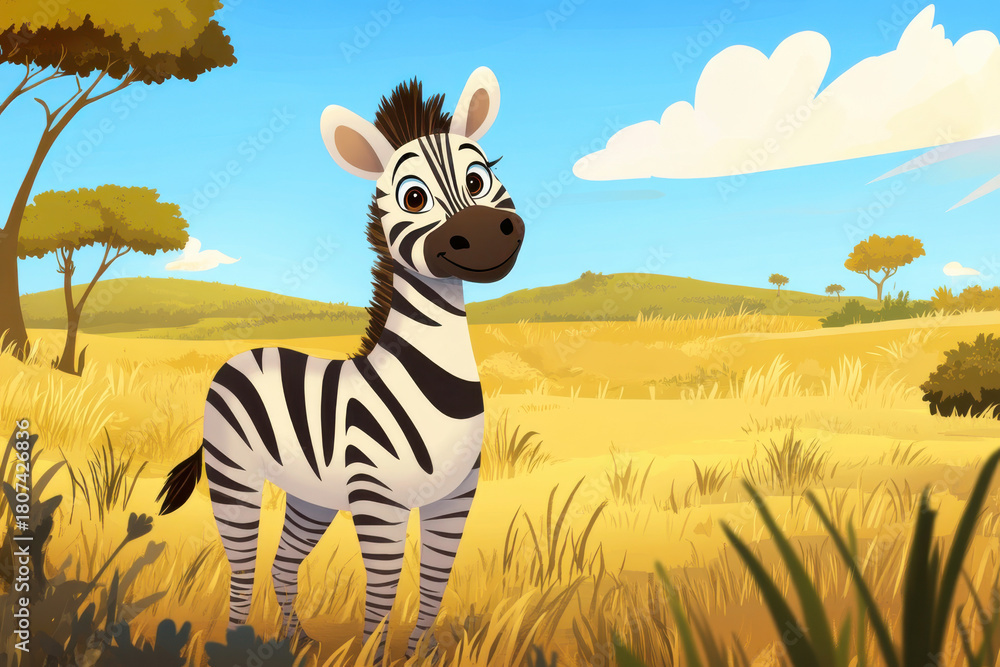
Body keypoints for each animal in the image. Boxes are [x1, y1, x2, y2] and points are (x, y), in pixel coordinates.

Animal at [156, 67, 524, 661]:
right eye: (413, 197)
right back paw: (238, 646)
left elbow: (433, 587)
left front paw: (417, 656)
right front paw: (371, 658)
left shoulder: (455, 499)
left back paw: (298, 644)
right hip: (234, 475)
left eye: (478, 177)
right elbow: (382, 594)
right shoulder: (379, 503)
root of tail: (242, 354)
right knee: (242, 570)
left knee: (282, 565)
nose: (487, 233)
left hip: (312, 496)